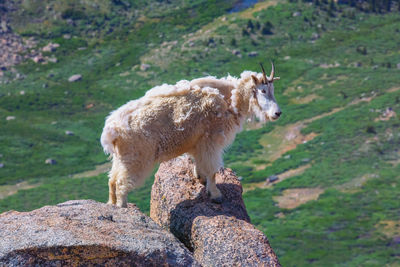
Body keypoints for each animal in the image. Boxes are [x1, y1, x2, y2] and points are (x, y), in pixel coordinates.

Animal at [100, 63, 282, 208]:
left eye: (273, 90)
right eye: (263, 90)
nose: (277, 113)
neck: (230, 99)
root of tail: (112, 130)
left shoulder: (198, 143)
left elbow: (199, 163)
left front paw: (200, 179)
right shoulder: (211, 141)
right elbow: (212, 169)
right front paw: (216, 195)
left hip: (121, 157)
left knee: (111, 180)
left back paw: (111, 204)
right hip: (137, 158)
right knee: (122, 183)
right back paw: (123, 207)